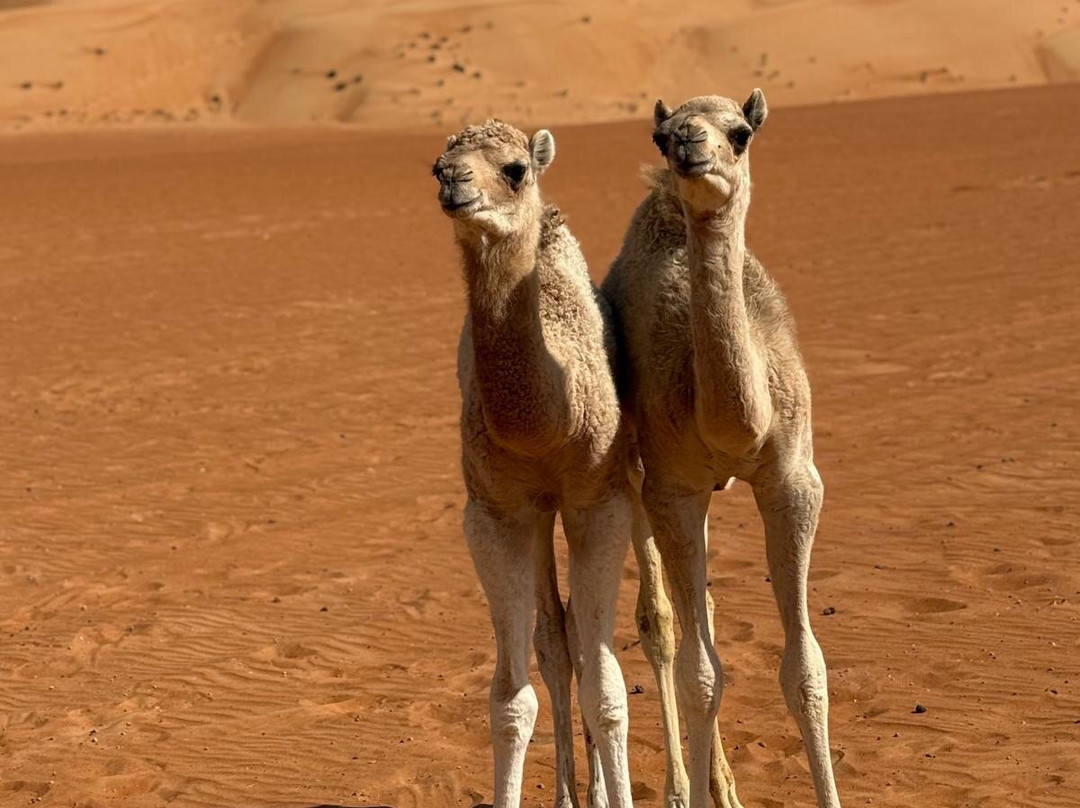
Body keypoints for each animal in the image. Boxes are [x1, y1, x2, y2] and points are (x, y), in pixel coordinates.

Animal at [432, 119, 636, 808]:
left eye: (514, 169)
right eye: (436, 163)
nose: (452, 181)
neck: (542, 428)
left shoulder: (600, 500)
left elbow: (607, 690)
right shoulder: (495, 514)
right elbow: (510, 701)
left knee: (581, 640)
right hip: (538, 517)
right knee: (554, 640)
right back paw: (573, 794)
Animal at [600, 90, 843, 808]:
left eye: (741, 133)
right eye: (661, 136)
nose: (689, 147)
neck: (737, 421)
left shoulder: (792, 481)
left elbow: (805, 668)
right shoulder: (673, 489)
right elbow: (698, 675)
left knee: (698, 614)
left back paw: (725, 786)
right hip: (633, 477)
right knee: (662, 625)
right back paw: (683, 787)